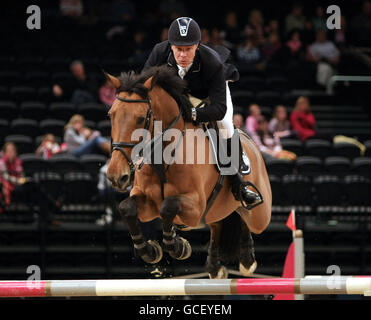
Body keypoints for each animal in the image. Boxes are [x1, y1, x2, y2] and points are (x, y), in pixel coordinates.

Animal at [106, 65, 272, 278]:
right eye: (111, 115)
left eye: (141, 118)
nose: (116, 176)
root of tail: (251, 142)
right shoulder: (148, 203)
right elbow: (127, 208)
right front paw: (150, 251)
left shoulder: (195, 205)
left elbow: (168, 206)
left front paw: (178, 246)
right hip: (215, 210)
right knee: (218, 223)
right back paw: (215, 267)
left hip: (260, 215)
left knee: (246, 217)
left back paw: (246, 258)